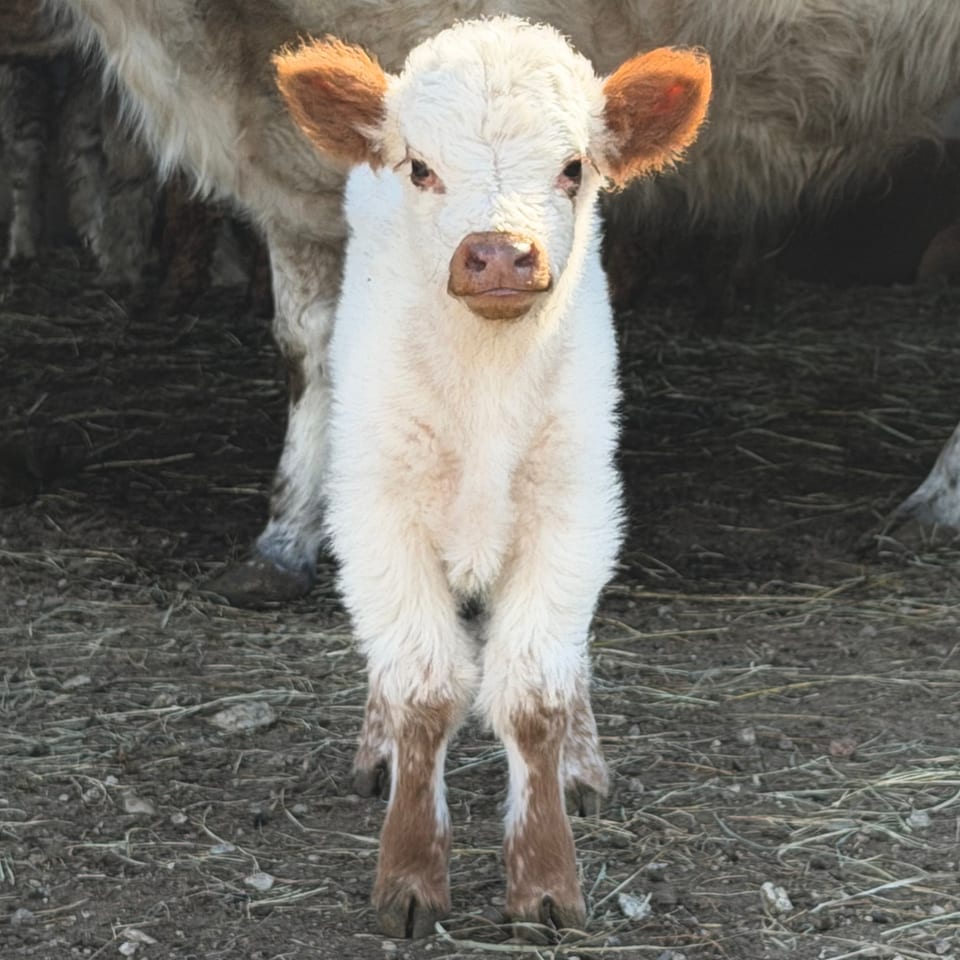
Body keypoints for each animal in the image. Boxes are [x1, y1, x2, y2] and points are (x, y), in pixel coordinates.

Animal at [272, 14, 711, 939]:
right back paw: (375, 754)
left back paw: (583, 765)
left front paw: (546, 882)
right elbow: (421, 689)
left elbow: (536, 695)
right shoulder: (379, 513)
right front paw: (408, 876)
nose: (501, 254)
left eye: (574, 167)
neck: (485, 389)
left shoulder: (575, 511)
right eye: (420, 166)